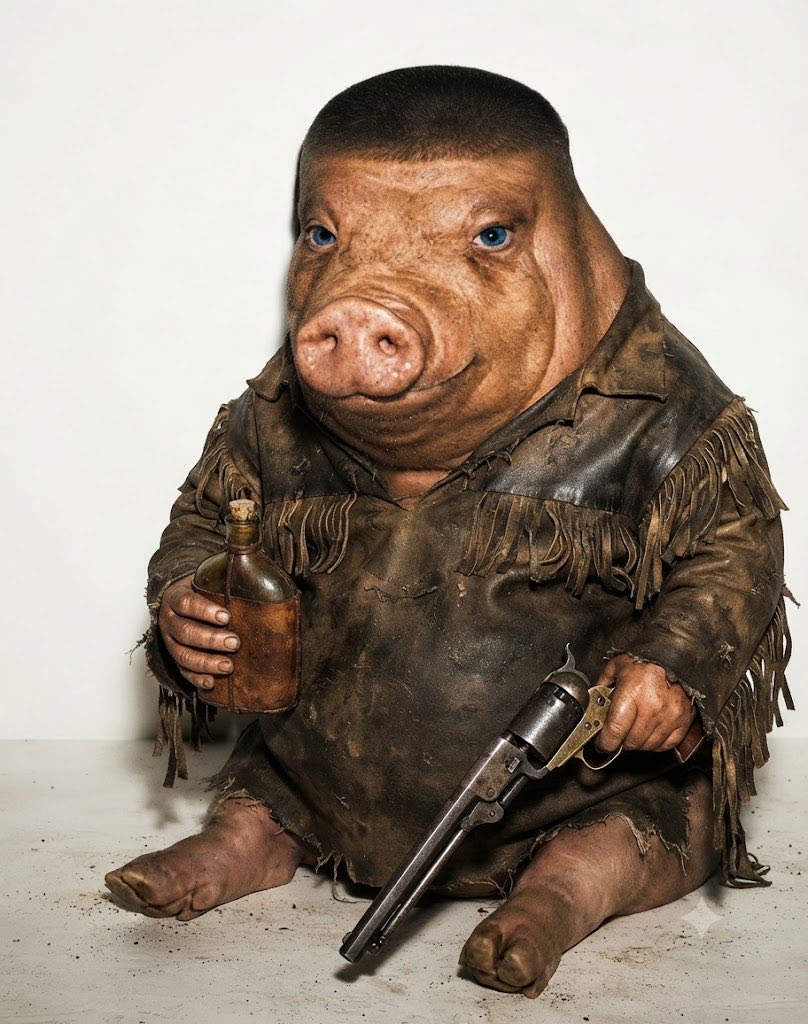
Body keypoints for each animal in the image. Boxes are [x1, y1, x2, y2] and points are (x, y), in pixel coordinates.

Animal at [106, 66, 790, 998]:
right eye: (320, 234)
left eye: (493, 235)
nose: (359, 312)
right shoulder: (260, 402)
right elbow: (202, 507)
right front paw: (199, 632)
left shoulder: (698, 419)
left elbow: (729, 549)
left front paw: (649, 700)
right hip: (266, 767)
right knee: (252, 815)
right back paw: (153, 878)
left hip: (656, 817)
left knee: (604, 851)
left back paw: (510, 948)